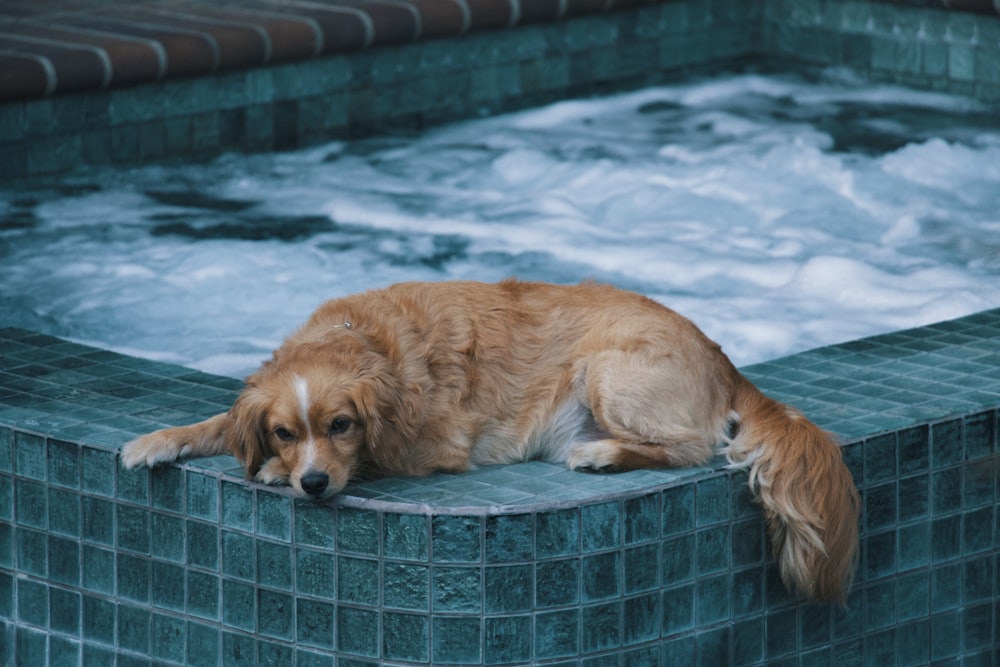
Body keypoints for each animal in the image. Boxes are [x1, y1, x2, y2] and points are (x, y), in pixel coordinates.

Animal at [123, 280, 860, 604]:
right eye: (283, 429)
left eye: (342, 426)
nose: (313, 482)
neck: (364, 339)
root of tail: (724, 358)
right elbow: (219, 423)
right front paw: (160, 439)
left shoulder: (430, 445)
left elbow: (378, 458)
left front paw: (275, 474)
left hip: (607, 370)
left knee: (687, 450)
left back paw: (603, 452)